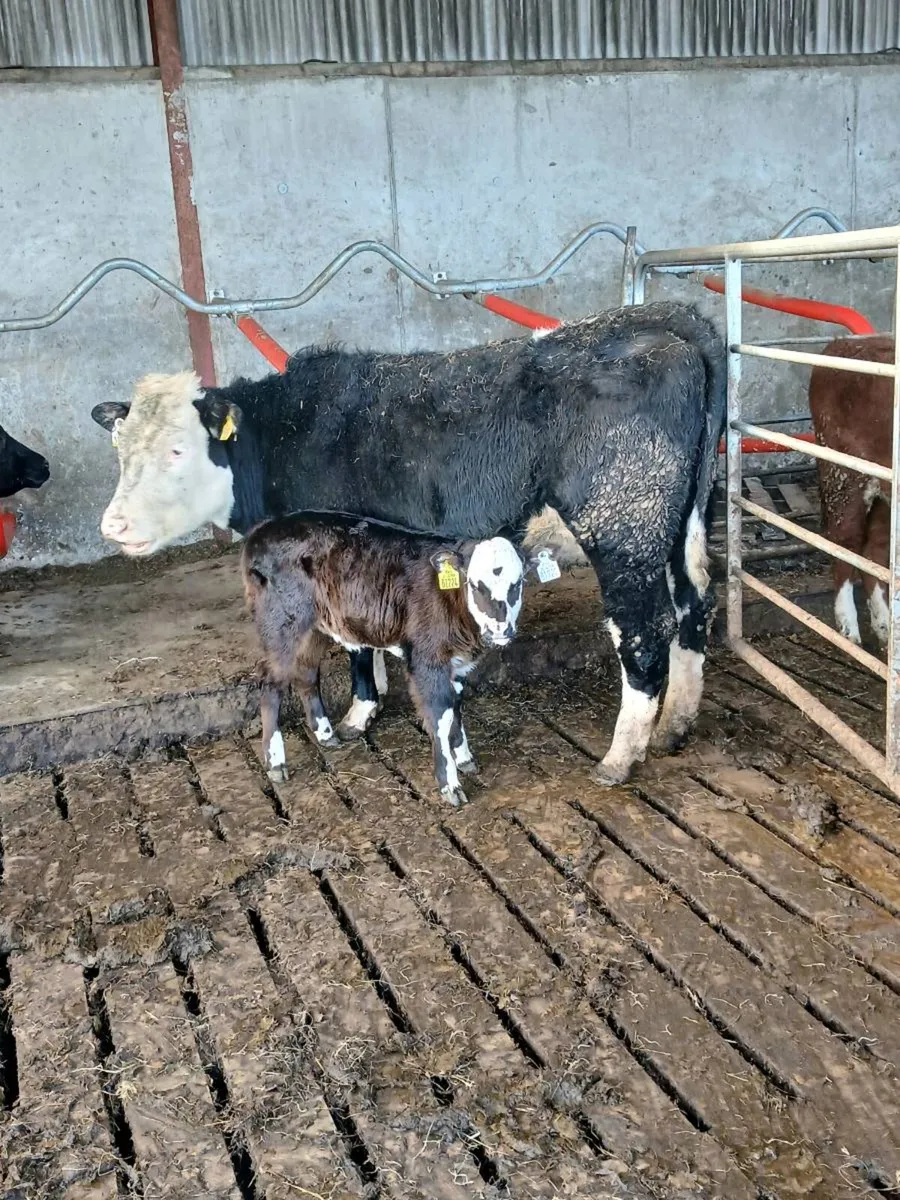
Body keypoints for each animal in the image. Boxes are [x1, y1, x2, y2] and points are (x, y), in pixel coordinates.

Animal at [242, 513, 524, 806]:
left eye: (518, 583)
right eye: (475, 585)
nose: (501, 630)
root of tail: (262, 529)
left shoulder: (456, 664)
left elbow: (456, 707)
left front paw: (464, 757)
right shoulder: (427, 659)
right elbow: (441, 715)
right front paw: (450, 785)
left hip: (315, 626)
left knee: (306, 673)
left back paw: (324, 733)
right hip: (281, 623)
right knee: (271, 682)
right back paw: (276, 762)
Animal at [808, 335, 895, 648]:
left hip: (882, 489)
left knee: (874, 549)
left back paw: (884, 625)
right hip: (843, 474)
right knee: (845, 541)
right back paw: (848, 628)